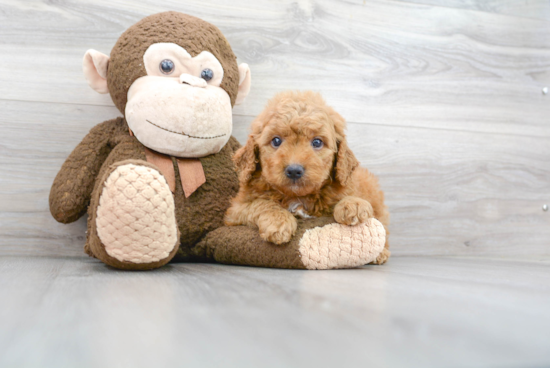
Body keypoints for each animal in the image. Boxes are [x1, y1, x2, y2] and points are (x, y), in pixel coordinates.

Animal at [225, 91, 392, 264]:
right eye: (276, 140)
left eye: (317, 142)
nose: (294, 170)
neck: (298, 197)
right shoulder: (234, 212)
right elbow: (260, 203)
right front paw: (278, 222)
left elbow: (348, 197)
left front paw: (353, 204)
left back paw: (381, 253)